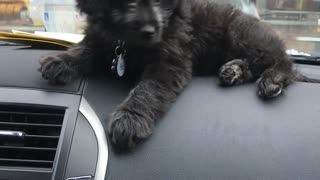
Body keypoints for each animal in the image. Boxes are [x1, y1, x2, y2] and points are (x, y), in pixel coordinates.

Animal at [38, 0, 310, 148]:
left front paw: (130, 118)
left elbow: (147, 90)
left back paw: (272, 80)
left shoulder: (170, 61)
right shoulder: (105, 41)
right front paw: (61, 60)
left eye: (160, 1)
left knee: (284, 61)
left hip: (242, 34)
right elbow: (86, 48)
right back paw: (233, 70)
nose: (149, 29)